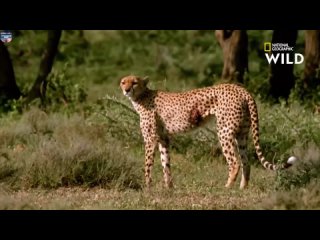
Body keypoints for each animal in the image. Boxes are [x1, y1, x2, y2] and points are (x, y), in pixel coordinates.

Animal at [120, 75, 298, 189]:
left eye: (134, 82)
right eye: (123, 82)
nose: (126, 90)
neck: (141, 96)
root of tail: (240, 89)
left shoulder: (150, 139)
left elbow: (148, 164)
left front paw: (148, 188)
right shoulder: (164, 138)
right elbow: (166, 163)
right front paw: (169, 188)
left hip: (224, 131)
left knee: (235, 162)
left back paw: (226, 188)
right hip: (242, 134)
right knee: (246, 162)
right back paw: (242, 189)